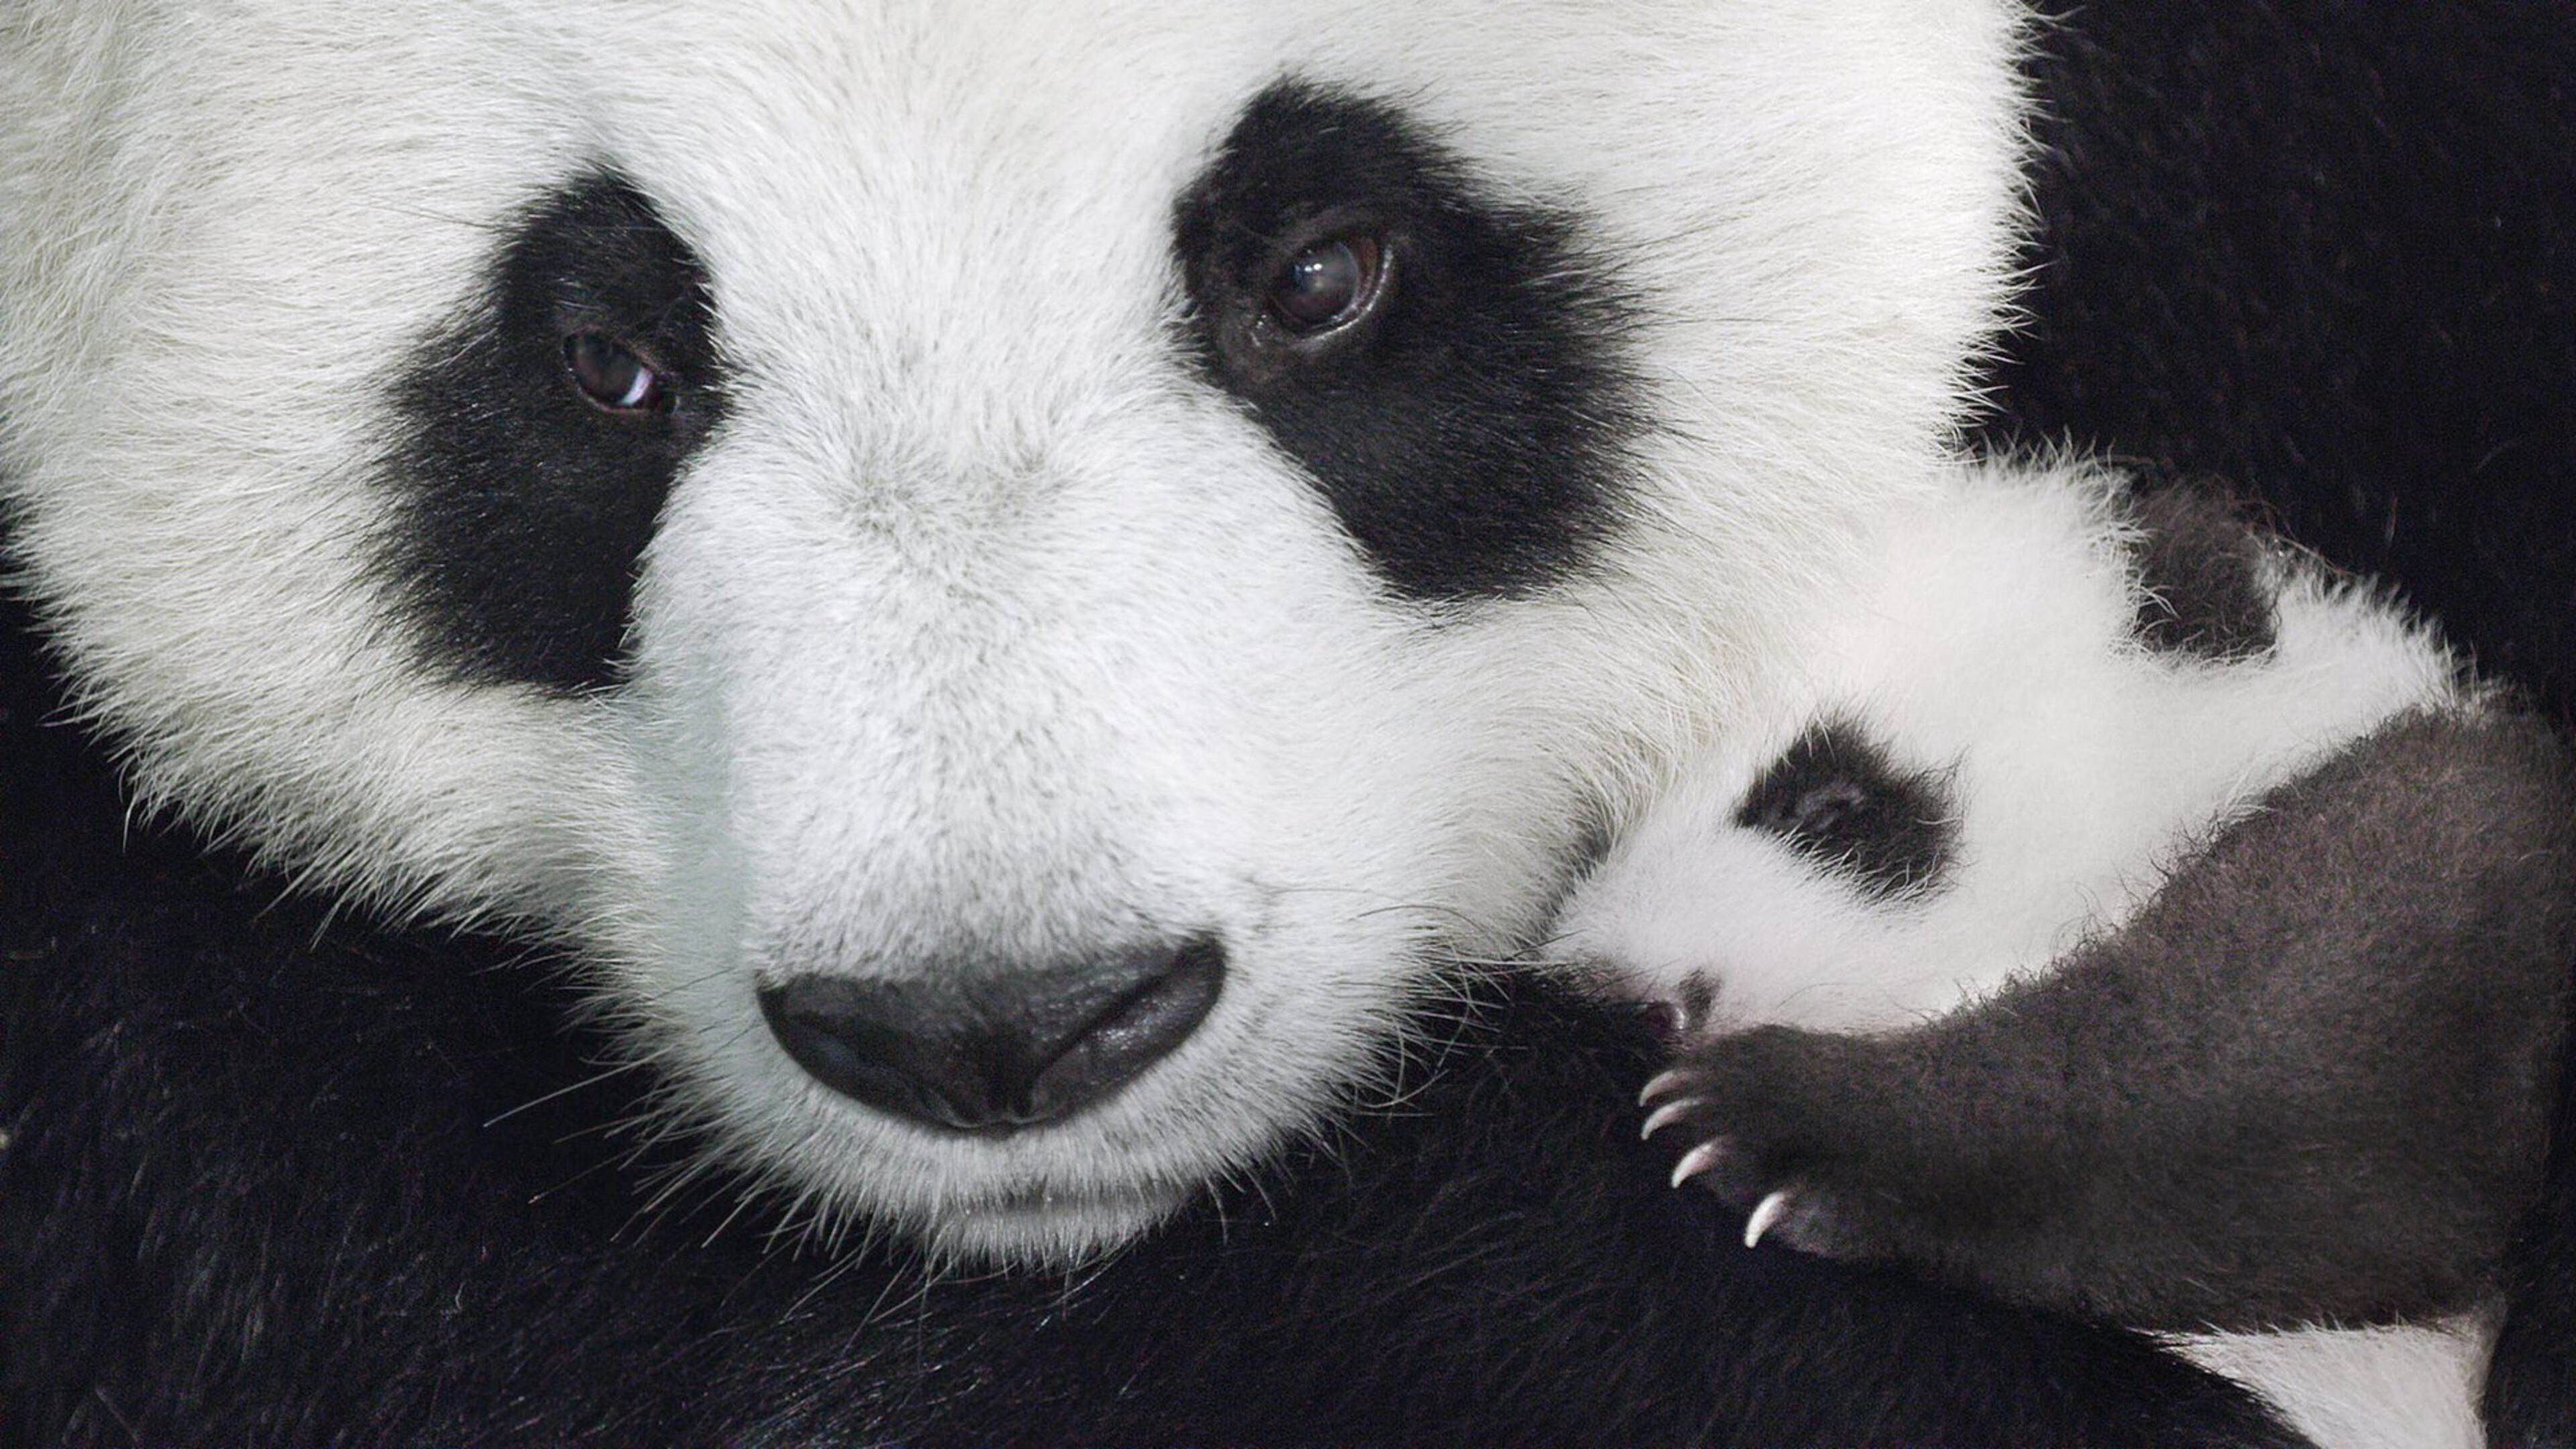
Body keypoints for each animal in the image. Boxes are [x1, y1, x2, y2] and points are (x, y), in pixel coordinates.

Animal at [1544, 459, 2571, 1447]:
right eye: (1591, 846)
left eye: (1830, 805)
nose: (1625, 998)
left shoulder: (2471, 863)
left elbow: (2298, 1062)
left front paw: (1777, 1116)